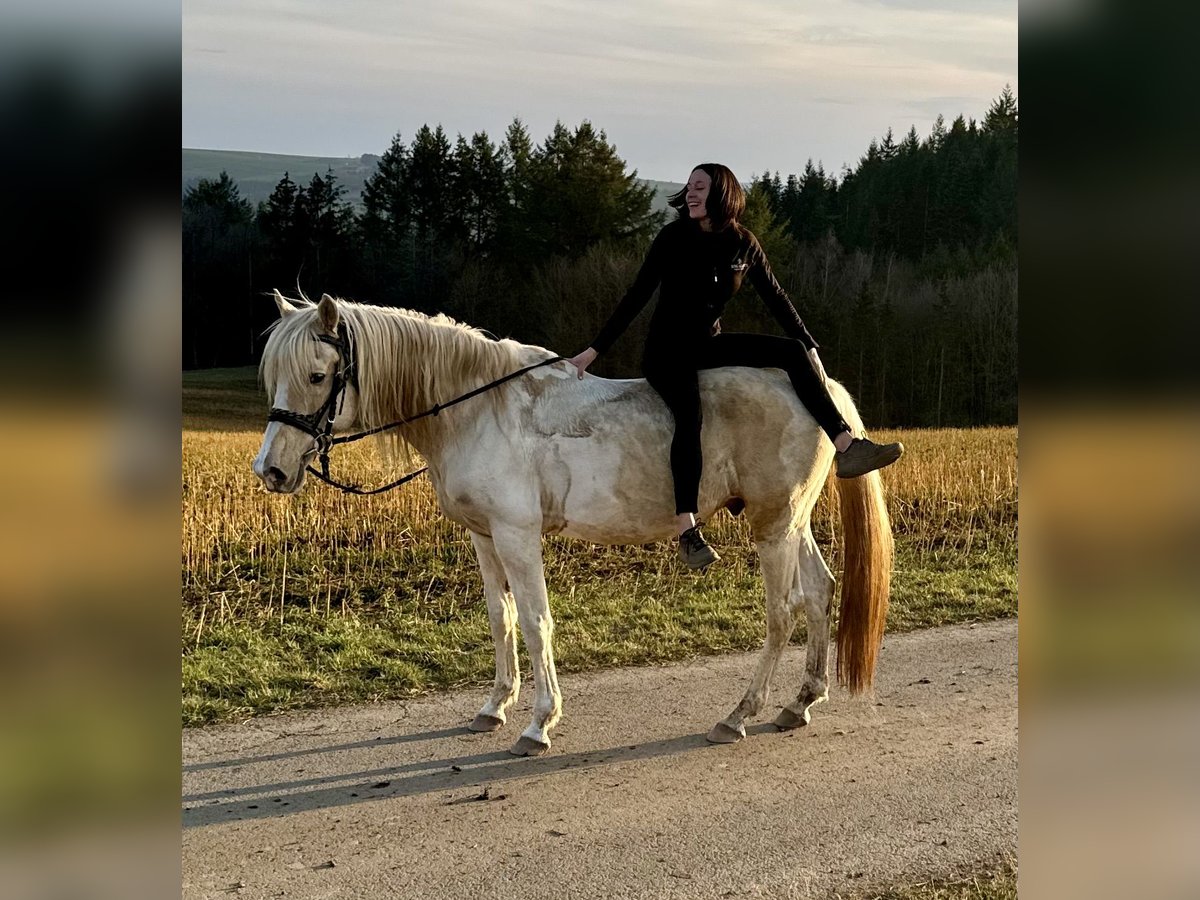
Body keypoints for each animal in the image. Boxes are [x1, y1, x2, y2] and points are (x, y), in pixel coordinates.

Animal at [253, 292, 892, 758]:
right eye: (273, 377)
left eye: (317, 375)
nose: (271, 471)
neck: (477, 409)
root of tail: (825, 394)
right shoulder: (483, 536)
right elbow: (501, 617)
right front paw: (494, 706)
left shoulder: (517, 534)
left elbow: (537, 622)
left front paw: (539, 722)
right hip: (793, 522)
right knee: (820, 593)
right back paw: (800, 702)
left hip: (774, 526)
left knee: (782, 613)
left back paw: (738, 715)